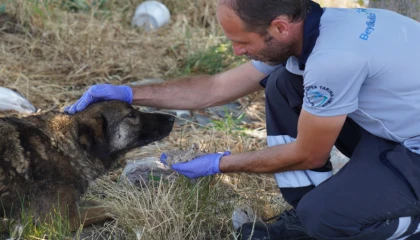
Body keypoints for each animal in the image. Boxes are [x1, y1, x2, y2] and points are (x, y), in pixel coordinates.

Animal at [0, 100, 174, 231]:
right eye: (130, 115)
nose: (172, 118)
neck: (64, 148)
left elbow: (105, 202)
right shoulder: (62, 220)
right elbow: (113, 206)